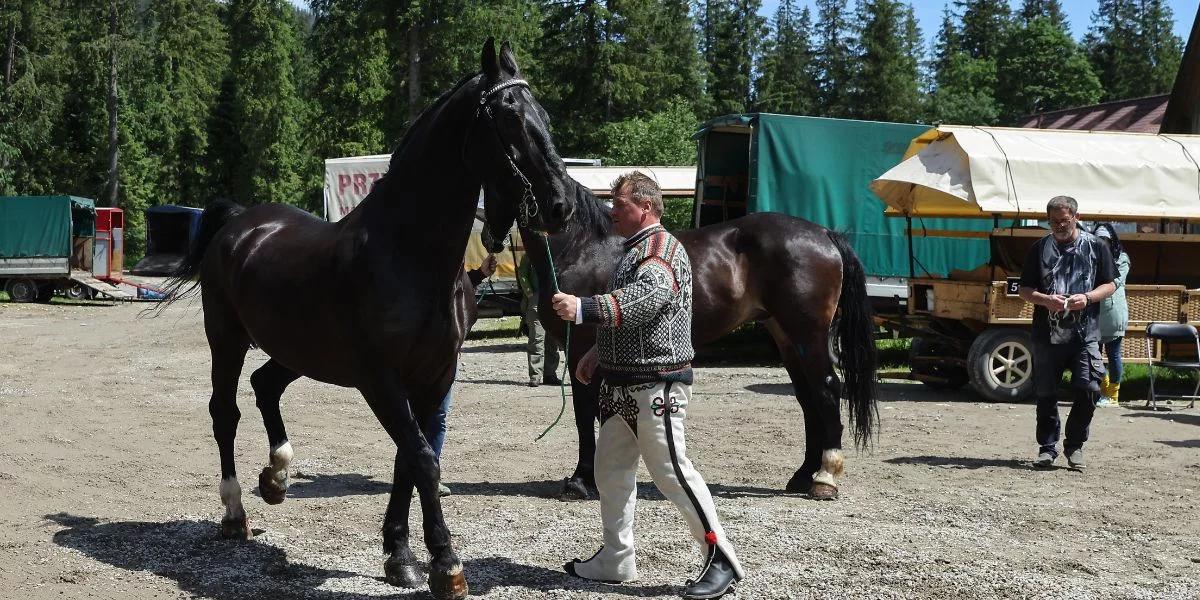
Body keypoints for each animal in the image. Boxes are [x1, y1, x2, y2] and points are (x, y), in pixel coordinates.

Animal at [162, 41, 573, 600]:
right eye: (509, 119)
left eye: (544, 116)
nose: (560, 206)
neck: (410, 255)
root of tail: (241, 223)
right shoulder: (381, 380)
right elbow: (421, 457)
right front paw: (446, 565)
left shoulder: (433, 377)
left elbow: (410, 458)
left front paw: (400, 555)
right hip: (226, 340)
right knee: (225, 412)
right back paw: (234, 512)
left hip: (298, 350)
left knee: (266, 385)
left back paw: (277, 477)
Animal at [480, 180, 883, 504]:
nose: (486, 239)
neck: (580, 244)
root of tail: (825, 234)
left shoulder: (581, 348)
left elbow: (583, 414)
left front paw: (581, 481)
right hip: (786, 336)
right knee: (808, 398)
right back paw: (801, 476)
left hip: (807, 335)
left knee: (827, 390)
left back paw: (825, 478)